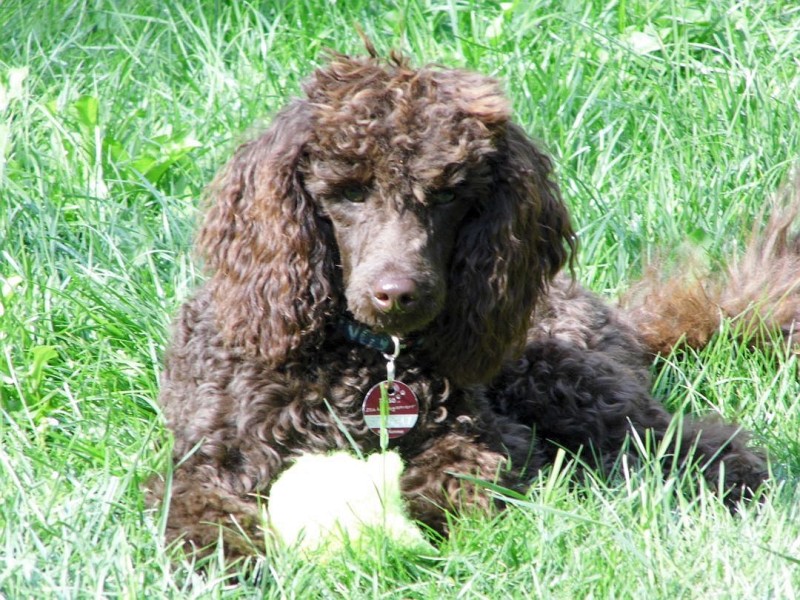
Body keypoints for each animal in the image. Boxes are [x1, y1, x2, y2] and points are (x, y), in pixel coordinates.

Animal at [152, 50, 800, 556]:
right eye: (349, 193)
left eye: (448, 195)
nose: (398, 294)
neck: (368, 362)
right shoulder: (214, 456)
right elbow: (198, 509)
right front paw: (222, 558)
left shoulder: (491, 435)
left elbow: (464, 470)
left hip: (561, 376)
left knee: (673, 439)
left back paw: (727, 480)